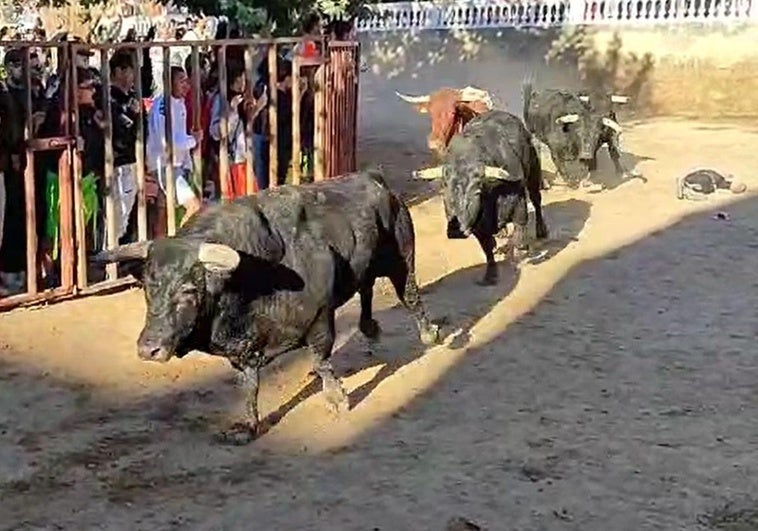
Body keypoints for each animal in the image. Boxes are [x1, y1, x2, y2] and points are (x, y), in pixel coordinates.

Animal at [95, 170, 442, 444]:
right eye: (148, 287)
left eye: (188, 290)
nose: (148, 349)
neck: (252, 278)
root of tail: (375, 179)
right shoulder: (242, 352)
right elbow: (249, 387)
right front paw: (247, 427)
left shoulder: (320, 318)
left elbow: (321, 361)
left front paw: (337, 397)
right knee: (367, 287)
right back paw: (369, 328)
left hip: (401, 260)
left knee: (410, 296)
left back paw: (429, 334)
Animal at [416, 110, 548, 288]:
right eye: (445, 192)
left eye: (477, 192)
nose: (455, 231)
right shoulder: (478, 227)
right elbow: (487, 248)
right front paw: (490, 275)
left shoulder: (518, 199)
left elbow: (520, 227)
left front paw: (522, 248)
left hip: (533, 171)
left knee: (536, 200)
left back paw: (541, 230)